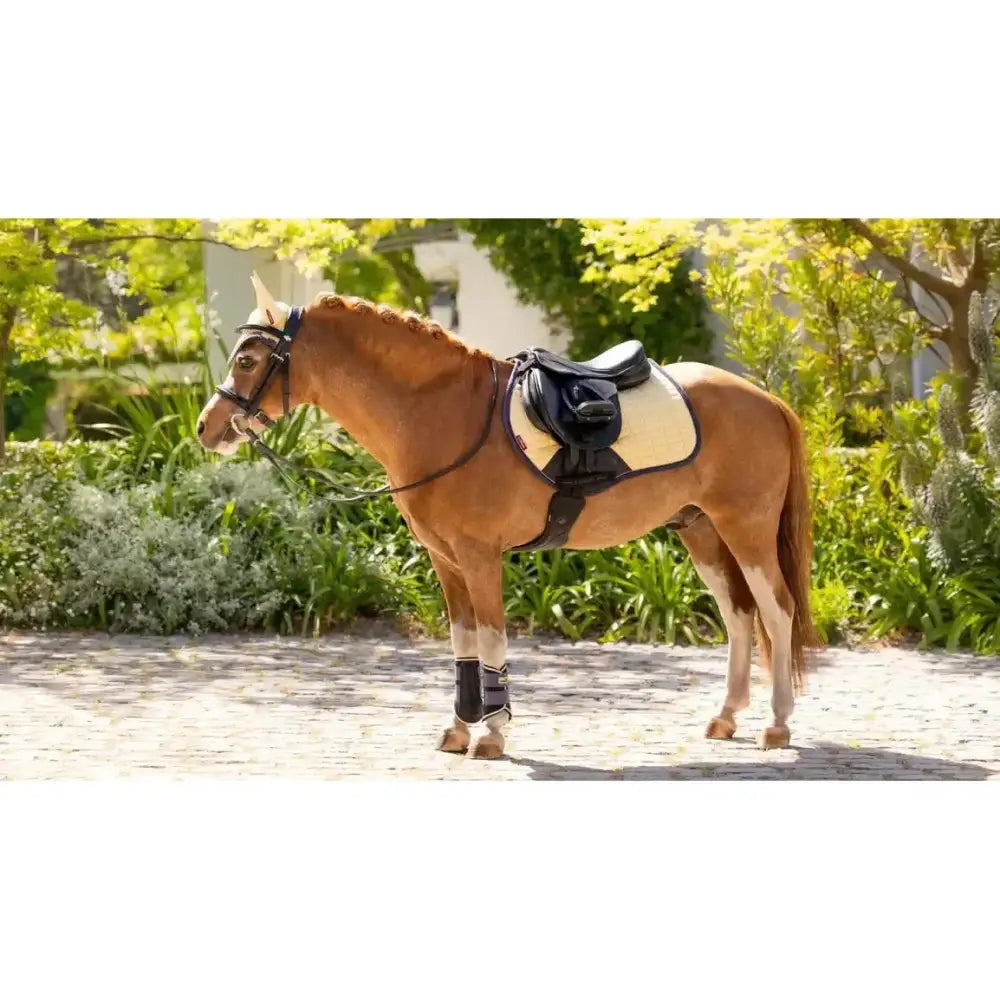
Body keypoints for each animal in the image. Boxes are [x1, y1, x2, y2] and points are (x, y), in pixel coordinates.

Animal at [196, 274, 820, 759]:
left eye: (247, 359)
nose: (206, 427)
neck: (442, 413)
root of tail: (765, 399)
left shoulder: (479, 556)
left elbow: (493, 640)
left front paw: (492, 735)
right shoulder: (445, 561)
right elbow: (464, 644)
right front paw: (458, 730)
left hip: (746, 531)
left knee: (777, 611)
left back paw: (776, 725)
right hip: (701, 531)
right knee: (739, 615)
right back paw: (727, 718)